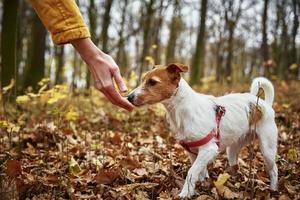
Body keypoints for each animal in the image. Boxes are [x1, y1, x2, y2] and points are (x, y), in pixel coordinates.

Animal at [127, 63, 278, 198]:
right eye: (143, 80)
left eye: (152, 82)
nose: (129, 97)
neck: (182, 109)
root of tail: (264, 104)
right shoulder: (193, 152)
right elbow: (199, 173)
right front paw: (197, 188)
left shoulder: (209, 149)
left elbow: (191, 172)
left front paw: (185, 193)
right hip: (233, 149)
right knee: (235, 166)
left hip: (267, 149)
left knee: (274, 170)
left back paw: (273, 189)